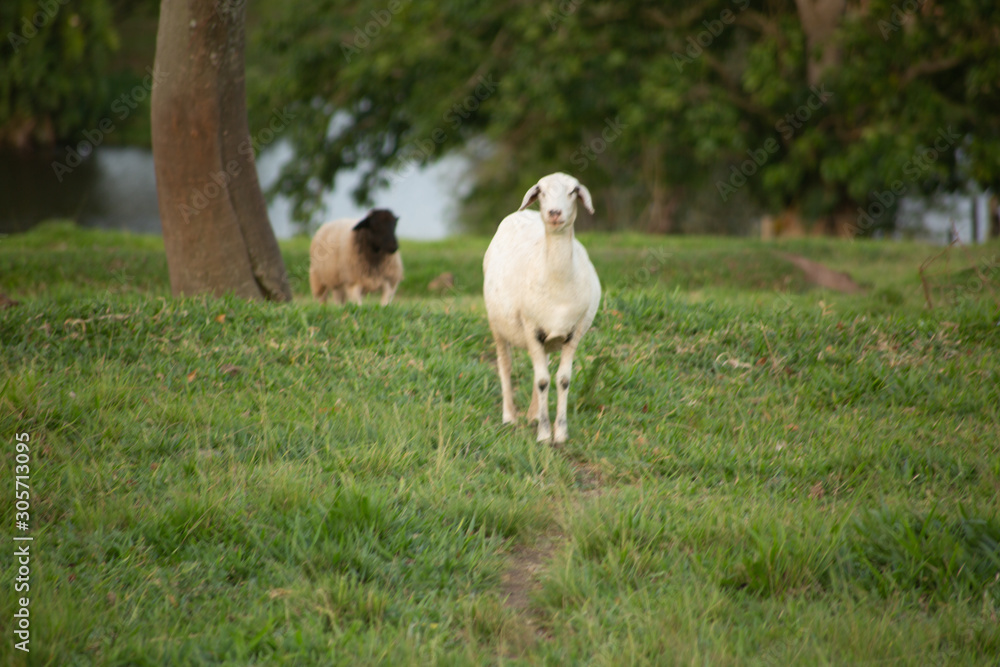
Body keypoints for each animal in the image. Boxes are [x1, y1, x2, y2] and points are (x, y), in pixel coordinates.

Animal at [483, 172, 602, 444]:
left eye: (573, 191)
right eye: (541, 191)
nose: (554, 212)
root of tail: (522, 214)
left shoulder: (574, 332)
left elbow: (561, 380)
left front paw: (561, 433)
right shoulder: (531, 327)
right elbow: (541, 380)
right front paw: (545, 435)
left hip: (546, 337)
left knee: (543, 367)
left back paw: (534, 414)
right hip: (497, 325)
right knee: (506, 366)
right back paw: (509, 417)